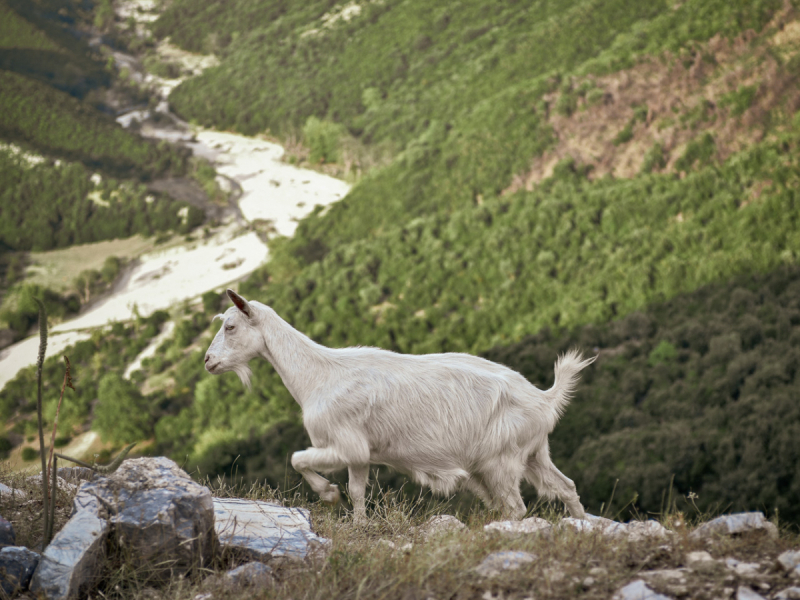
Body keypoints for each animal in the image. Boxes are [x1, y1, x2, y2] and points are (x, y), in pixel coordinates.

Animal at [205, 290, 592, 520]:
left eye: (231, 326)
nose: (209, 361)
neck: (319, 374)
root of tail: (544, 399)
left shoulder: (346, 443)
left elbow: (298, 459)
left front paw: (328, 494)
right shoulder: (360, 455)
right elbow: (357, 491)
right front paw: (359, 524)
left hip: (501, 460)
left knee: (516, 507)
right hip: (533, 454)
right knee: (565, 486)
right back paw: (581, 524)